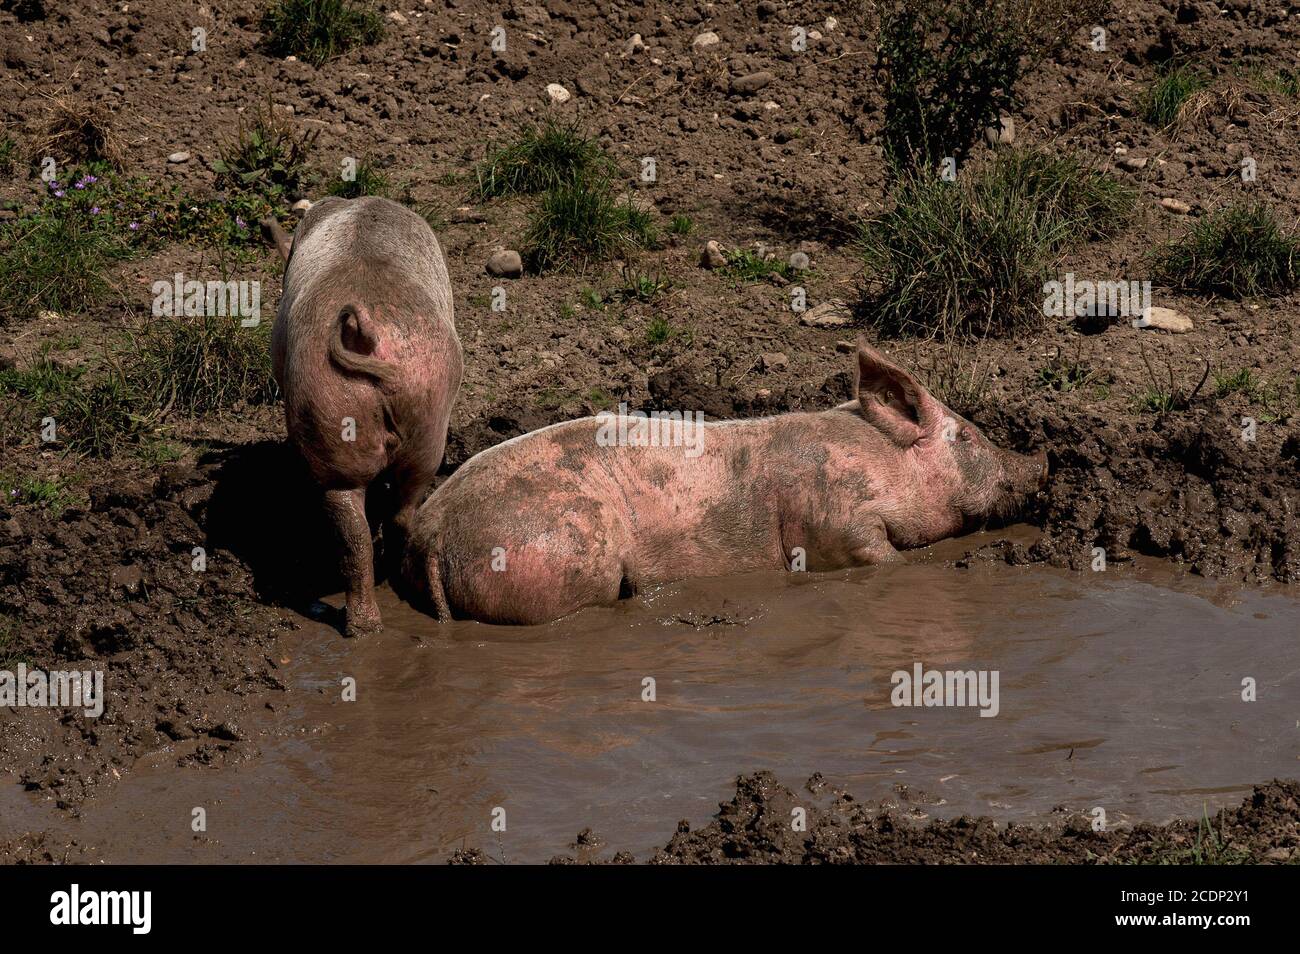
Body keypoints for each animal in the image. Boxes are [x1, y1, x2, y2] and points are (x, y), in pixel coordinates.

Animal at [263, 196, 462, 634]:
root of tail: (363, 331)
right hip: (423, 412)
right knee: (389, 517)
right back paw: (373, 620)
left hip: (332, 403)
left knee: (355, 529)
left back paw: (364, 628)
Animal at [403, 343, 1045, 629]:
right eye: (967, 435)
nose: (1041, 460)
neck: (880, 460)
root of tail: (431, 532)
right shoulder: (832, 516)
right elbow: (873, 552)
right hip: (564, 553)